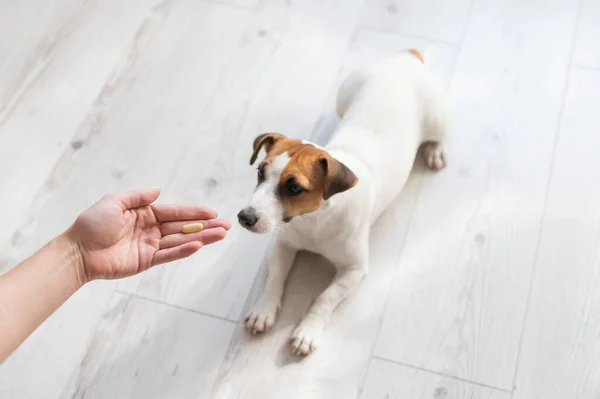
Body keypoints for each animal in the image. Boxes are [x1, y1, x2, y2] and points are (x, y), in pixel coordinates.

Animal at [237, 48, 448, 358]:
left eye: (294, 187)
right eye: (260, 173)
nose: (244, 217)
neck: (313, 221)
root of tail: (406, 57)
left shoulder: (354, 269)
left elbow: (324, 298)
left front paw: (307, 331)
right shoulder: (283, 244)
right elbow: (274, 277)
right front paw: (263, 310)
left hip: (438, 117)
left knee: (439, 137)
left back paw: (435, 151)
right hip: (343, 95)